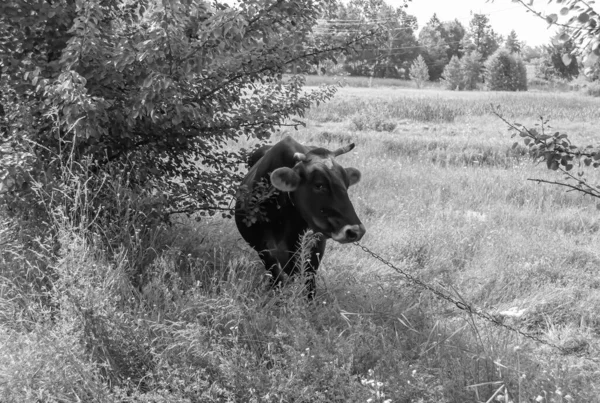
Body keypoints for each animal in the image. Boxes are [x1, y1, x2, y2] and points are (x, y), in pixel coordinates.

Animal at [234, 136, 366, 296]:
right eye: (319, 185)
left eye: (346, 185)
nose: (356, 231)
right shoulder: (262, 247)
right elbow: (277, 277)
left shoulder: (315, 244)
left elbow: (308, 279)